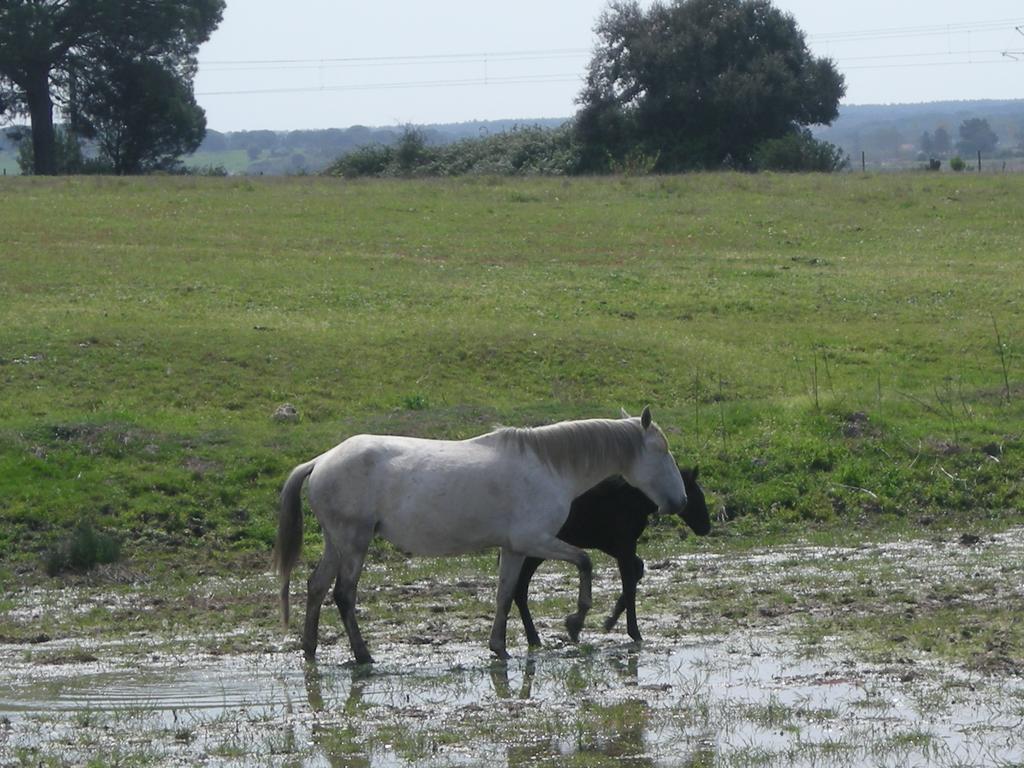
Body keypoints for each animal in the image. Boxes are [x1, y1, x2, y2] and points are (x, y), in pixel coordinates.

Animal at [276, 405, 684, 663]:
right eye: (662, 450)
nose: (678, 500)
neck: (549, 467)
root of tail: (321, 461)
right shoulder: (535, 541)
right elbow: (584, 563)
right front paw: (576, 621)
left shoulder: (515, 548)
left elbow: (505, 595)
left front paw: (499, 646)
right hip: (354, 543)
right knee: (343, 595)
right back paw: (363, 655)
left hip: (337, 543)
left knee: (316, 587)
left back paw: (310, 649)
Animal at [516, 466, 708, 647]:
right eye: (695, 495)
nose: (706, 527)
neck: (635, 501)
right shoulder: (624, 544)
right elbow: (629, 585)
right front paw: (634, 632)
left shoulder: (611, 545)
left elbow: (637, 571)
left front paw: (608, 621)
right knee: (520, 588)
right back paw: (534, 638)